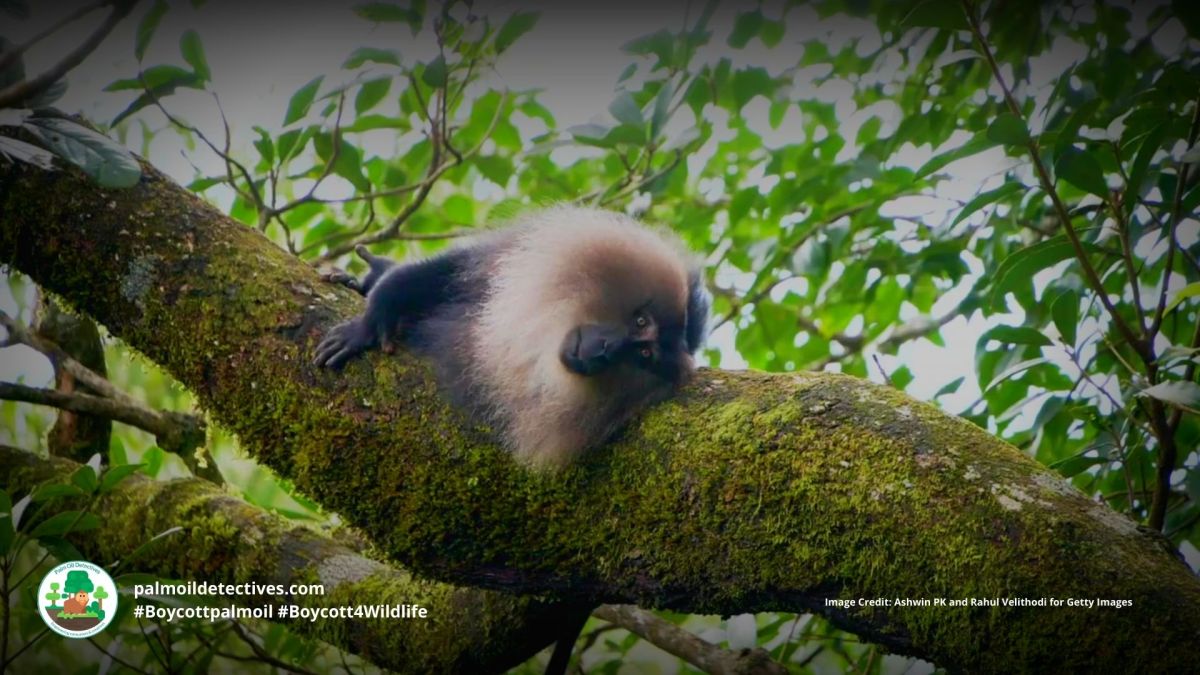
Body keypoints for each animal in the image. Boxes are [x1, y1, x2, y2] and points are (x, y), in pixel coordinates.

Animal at [313, 206, 710, 468]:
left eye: (644, 356)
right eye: (641, 322)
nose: (605, 352)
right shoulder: (497, 264)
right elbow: (435, 275)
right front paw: (367, 326)